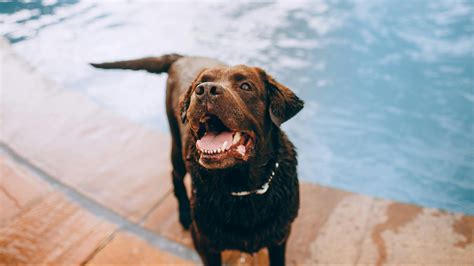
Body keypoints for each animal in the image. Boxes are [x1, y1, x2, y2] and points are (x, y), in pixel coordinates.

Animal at [91, 54, 304, 266]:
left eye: (245, 86)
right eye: (199, 85)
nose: (205, 90)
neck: (242, 189)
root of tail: (183, 56)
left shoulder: (280, 237)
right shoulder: (204, 242)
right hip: (176, 145)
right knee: (175, 175)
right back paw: (184, 213)